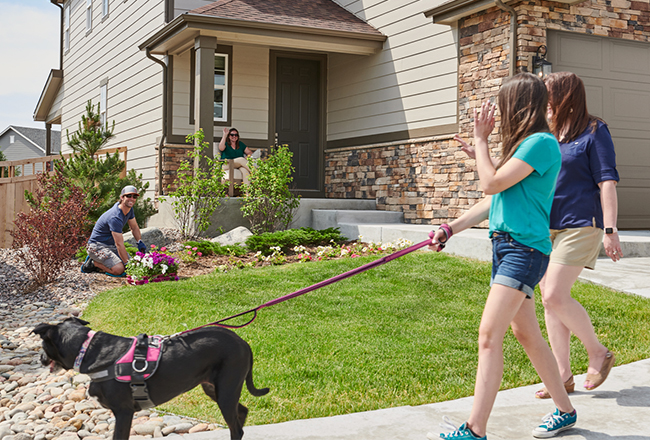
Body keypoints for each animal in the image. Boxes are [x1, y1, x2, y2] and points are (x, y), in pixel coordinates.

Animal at [34, 318, 268, 440]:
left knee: (236, 427)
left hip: (226, 389)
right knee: (241, 413)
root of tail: (243, 342)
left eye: (42, 345)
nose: (40, 359)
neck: (89, 350)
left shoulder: (124, 412)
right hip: (214, 388)